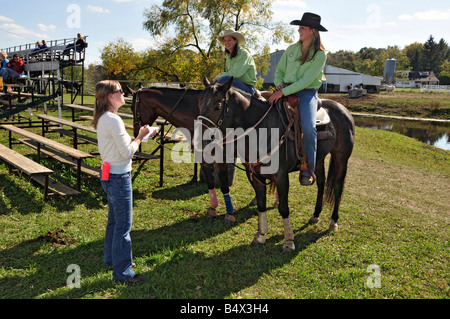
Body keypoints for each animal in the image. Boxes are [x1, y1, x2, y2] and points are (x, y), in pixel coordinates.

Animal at [129, 87, 236, 222]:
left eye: (132, 107)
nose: (136, 132)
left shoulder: (219, 158)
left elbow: (224, 184)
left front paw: (229, 212)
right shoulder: (202, 156)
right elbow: (210, 181)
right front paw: (212, 208)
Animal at [197, 77, 356, 252]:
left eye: (217, 106)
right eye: (199, 102)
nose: (200, 142)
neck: (263, 131)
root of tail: (344, 109)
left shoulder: (281, 176)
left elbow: (283, 208)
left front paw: (289, 241)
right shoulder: (255, 176)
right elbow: (261, 204)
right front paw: (260, 236)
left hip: (341, 158)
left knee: (338, 187)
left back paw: (333, 222)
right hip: (319, 159)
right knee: (321, 183)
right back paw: (315, 215)